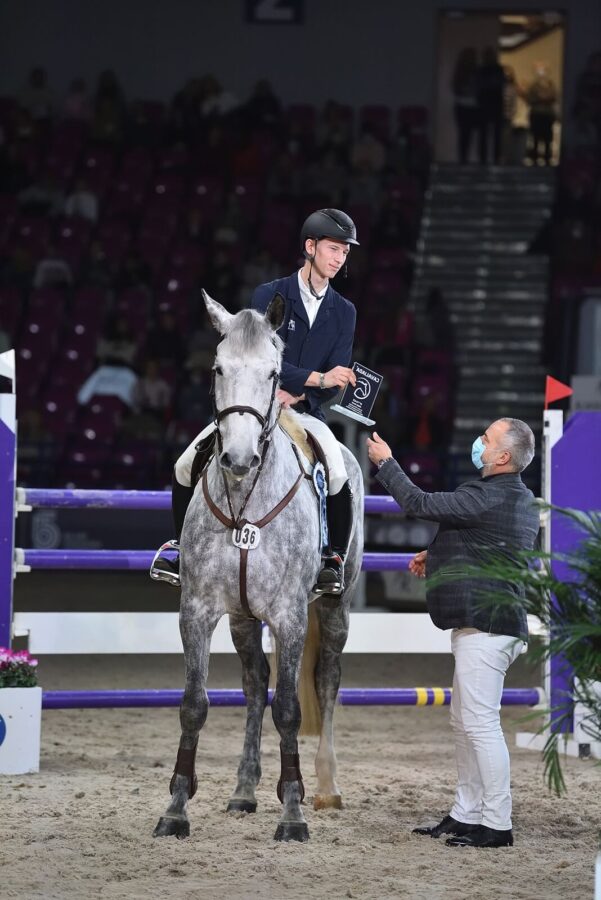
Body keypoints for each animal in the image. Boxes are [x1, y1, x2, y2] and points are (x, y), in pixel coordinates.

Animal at [152, 290, 364, 844]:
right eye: (218, 369)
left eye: (273, 373)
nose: (239, 458)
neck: (246, 497)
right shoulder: (198, 611)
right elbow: (195, 704)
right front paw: (176, 810)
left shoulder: (290, 616)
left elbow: (289, 709)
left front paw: (293, 815)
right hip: (244, 618)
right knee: (254, 684)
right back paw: (245, 790)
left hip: (334, 608)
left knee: (327, 679)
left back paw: (326, 787)